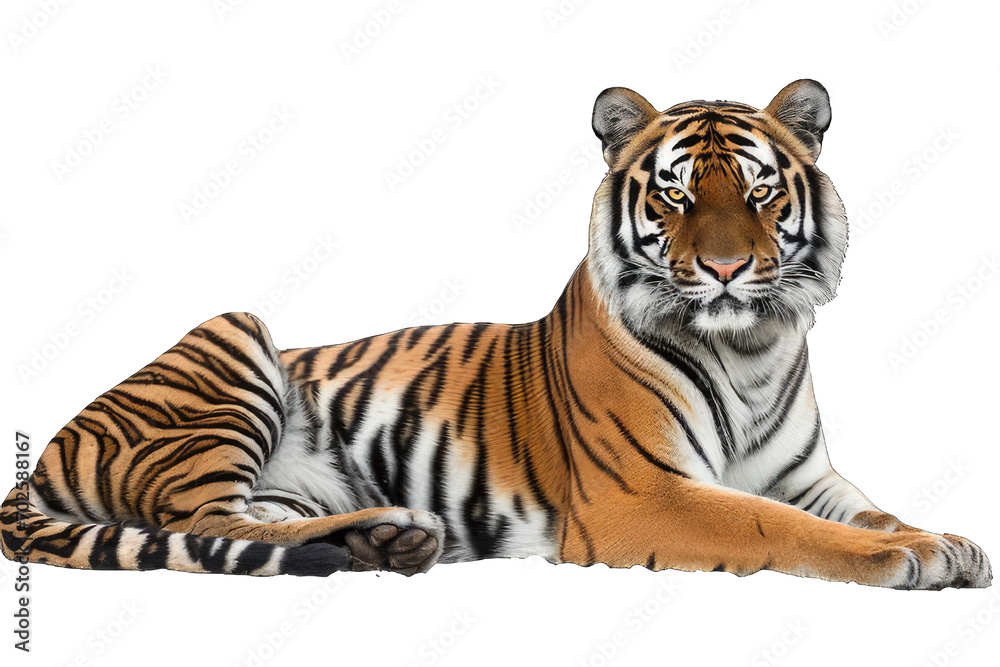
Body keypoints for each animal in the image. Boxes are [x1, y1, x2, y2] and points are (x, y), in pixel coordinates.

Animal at [2, 80, 991, 588]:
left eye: (758, 192)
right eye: (675, 194)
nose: (724, 269)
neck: (751, 349)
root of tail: (47, 446)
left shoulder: (809, 476)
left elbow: (866, 506)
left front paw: (947, 539)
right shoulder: (643, 493)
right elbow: (772, 525)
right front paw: (904, 555)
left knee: (249, 521)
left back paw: (390, 538)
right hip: (232, 338)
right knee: (201, 521)